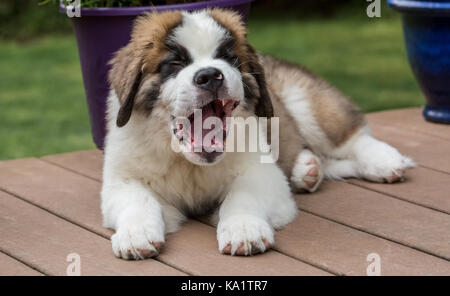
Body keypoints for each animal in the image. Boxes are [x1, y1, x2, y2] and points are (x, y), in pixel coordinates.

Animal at [101, 8, 414, 260]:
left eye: (228, 59)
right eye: (175, 64)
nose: (210, 76)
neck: (188, 163)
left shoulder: (261, 173)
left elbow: (242, 195)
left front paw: (243, 229)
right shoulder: (121, 179)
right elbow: (138, 200)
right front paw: (135, 235)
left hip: (305, 100)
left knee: (353, 138)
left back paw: (384, 162)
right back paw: (307, 170)